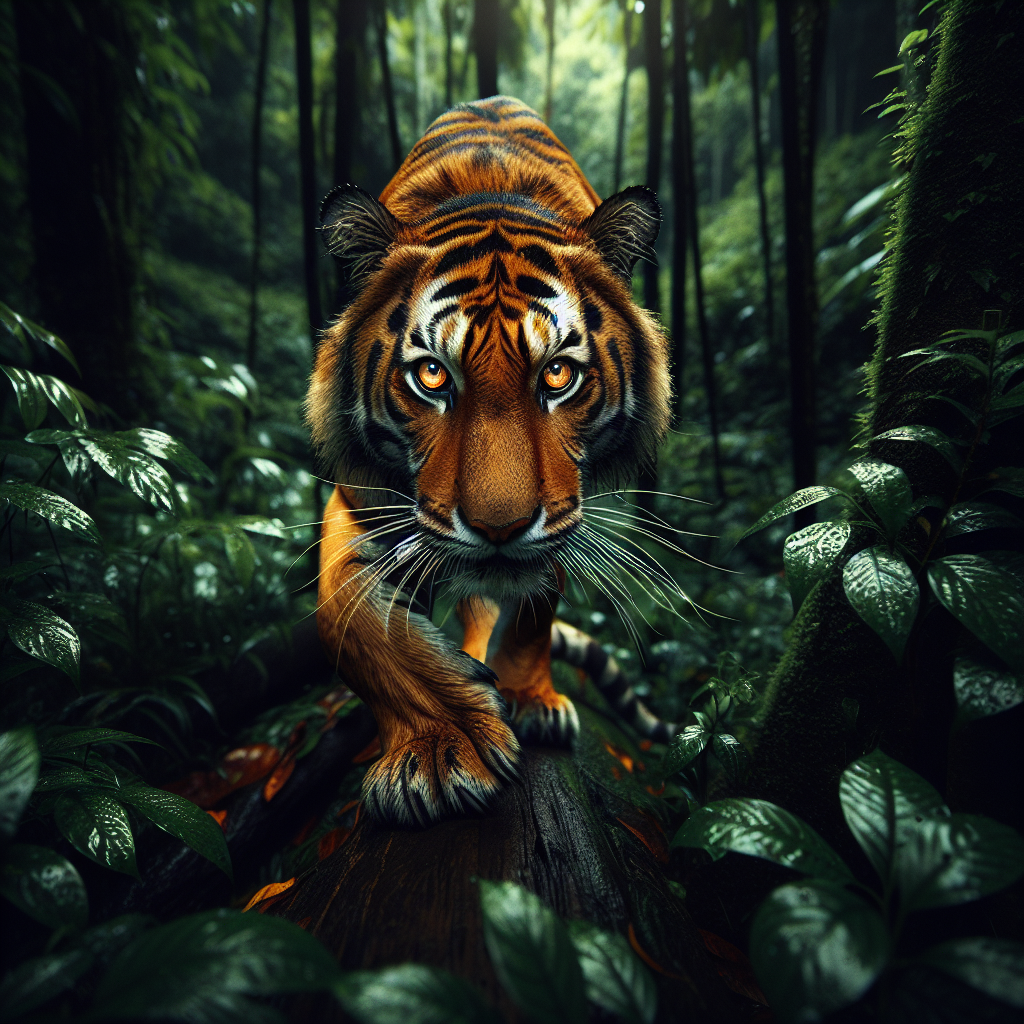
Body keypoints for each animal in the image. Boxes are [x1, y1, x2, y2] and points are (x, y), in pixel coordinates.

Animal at [308, 96, 672, 827]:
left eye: (558, 374)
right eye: (432, 376)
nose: (499, 528)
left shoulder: (562, 514)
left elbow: (533, 609)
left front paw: (529, 700)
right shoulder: (361, 502)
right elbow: (355, 623)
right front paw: (441, 753)